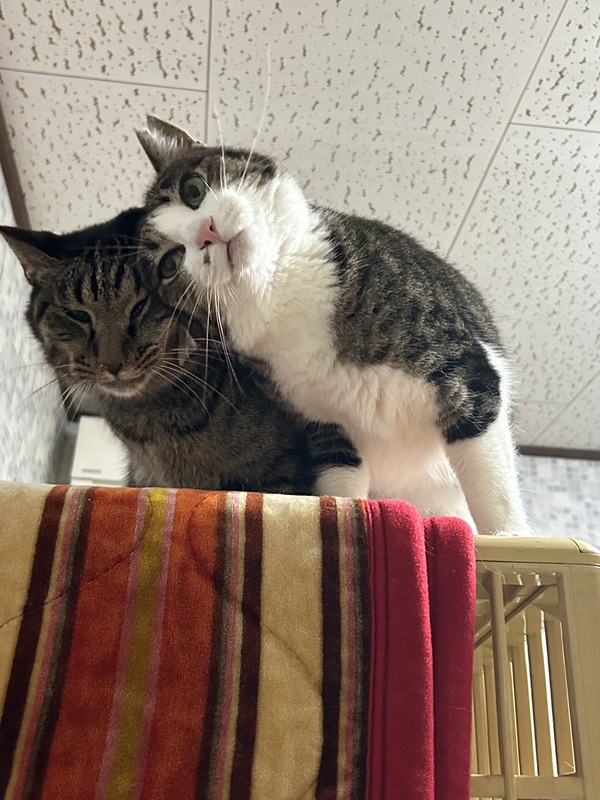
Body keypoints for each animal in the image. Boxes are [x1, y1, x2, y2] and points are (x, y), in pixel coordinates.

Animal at [135, 116, 531, 534]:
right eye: (171, 263)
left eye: (192, 190)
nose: (205, 231)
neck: (281, 291)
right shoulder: (320, 421)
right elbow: (341, 470)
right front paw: (345, 519)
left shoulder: (463, 368)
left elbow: (489, 478)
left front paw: (508, 536)